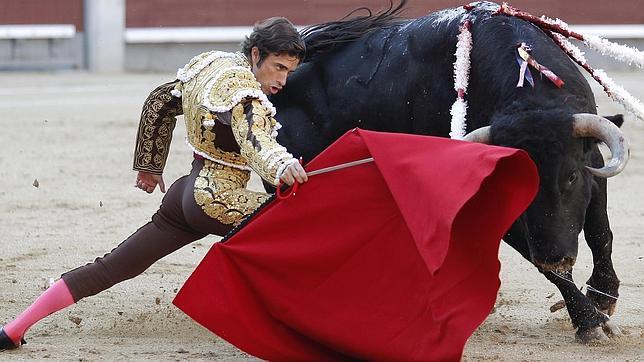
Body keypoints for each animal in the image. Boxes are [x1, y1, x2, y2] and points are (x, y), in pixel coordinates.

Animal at [270, 0, 632, 342]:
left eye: (570, 176)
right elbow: (545, 262)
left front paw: (603, 295)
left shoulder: (593, 163)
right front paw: (590, 322)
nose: (554, 255)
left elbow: (599, 232)